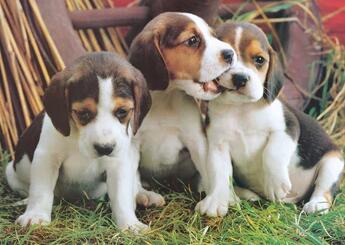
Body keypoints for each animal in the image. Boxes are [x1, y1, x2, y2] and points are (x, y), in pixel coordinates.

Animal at [5, 51, 164, 232]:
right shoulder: (46, 157)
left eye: (122, 111)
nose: (105, 148)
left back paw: (143, 195)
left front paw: (129, 224)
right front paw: (35, 216)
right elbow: (41, 190)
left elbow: (122, 196)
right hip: (10, 170)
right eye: (83, 113)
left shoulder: (118, 162)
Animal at [127, 12, 235, 209]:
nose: (231, 53)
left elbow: (209, 170)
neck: (165, 99)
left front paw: (217, 198)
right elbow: (131, 176)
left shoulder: (197, 141)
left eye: (213, 35)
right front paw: (139, 194)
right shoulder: (131, 145)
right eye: (192, 40)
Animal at [196, 21, 344, 216]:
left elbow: (272, 153)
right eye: (226, 57)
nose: (240, 78)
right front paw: (216, 201)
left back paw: (316, 204)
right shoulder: (218, 146)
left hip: (332, 161)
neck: (240, 108)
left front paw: (275, 184)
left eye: (259, 60)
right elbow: (220, 174)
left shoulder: (287, 127)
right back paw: (245, 195)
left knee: (323, 188)